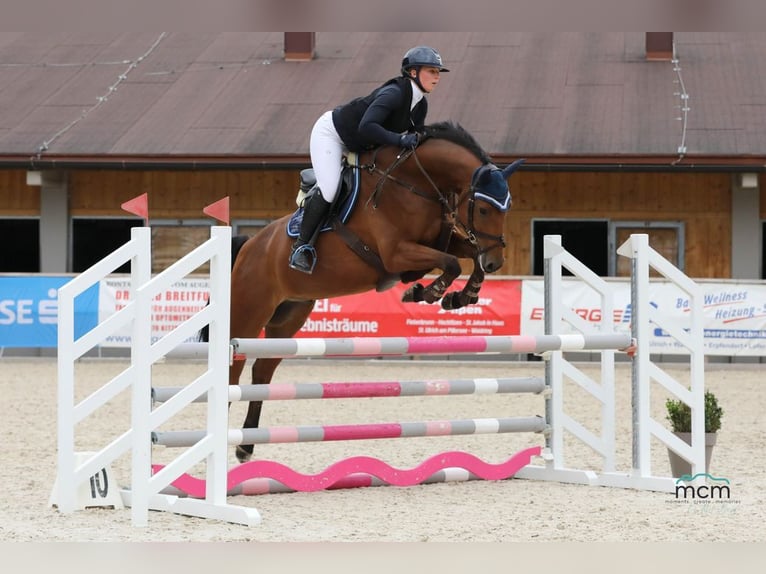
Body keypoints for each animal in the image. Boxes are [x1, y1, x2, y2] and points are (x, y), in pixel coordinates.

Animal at [222, 120, 524, 464]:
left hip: (289, 316)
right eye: (485, 209)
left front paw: (461, 296)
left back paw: (245, 446)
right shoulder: (397, 253)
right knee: (232, 370)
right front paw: (425, 292)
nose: (496, 262)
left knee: (262, 370)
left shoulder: (439, 240)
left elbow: (466, 255)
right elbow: (450, 263)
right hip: (248, 311)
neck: (413, 181)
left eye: (508, 207)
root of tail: (251, 244)